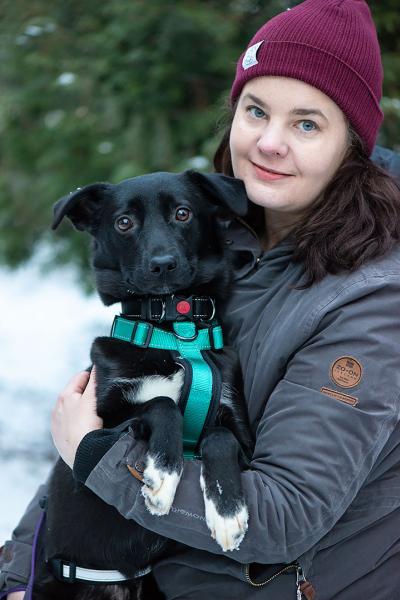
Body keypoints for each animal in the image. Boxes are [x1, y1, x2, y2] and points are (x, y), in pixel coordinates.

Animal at [33, 170, 254, 600]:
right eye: (124, 222)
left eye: (183, 213)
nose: (163, 265)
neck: (176, 330)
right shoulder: (95, 427)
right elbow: (161, 405)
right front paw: (163, 473)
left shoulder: (244, 437)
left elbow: (220, 437)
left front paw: (227, 511)